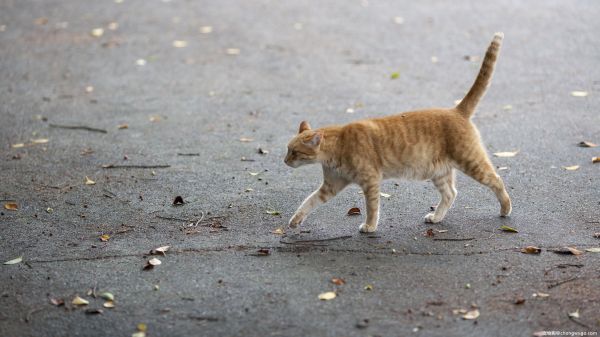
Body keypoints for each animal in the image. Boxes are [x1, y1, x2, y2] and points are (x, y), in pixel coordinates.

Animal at [286, 32, 510, 231]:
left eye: (295, 152)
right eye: (287, 150)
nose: (285, 161)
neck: (338, 144)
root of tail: (456, 110)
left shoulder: (371, 181)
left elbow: (372, 207)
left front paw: (369, 227)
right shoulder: (330, 186)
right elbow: (309, 201)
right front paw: (295, 220)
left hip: (471, 162)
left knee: (496, 180)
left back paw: (505, 209)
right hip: (439, 172)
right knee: (450, 193)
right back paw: (436, 217)